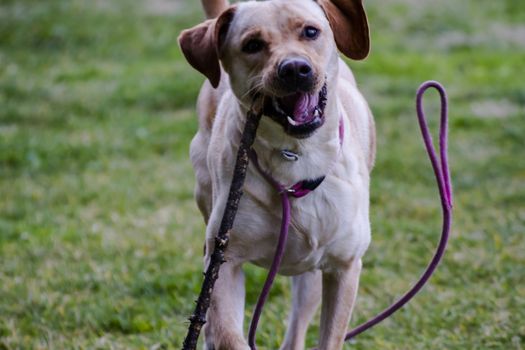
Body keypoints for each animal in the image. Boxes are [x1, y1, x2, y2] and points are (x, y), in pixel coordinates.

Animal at [179, 0, 372, 348]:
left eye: (310, 31)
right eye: (252, 45)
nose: (294, 68)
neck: (296, 155)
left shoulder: (344, 266)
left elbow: (330, 338)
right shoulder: (224, 260)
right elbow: (227, 334)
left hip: (311, 277)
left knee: (295, 332)